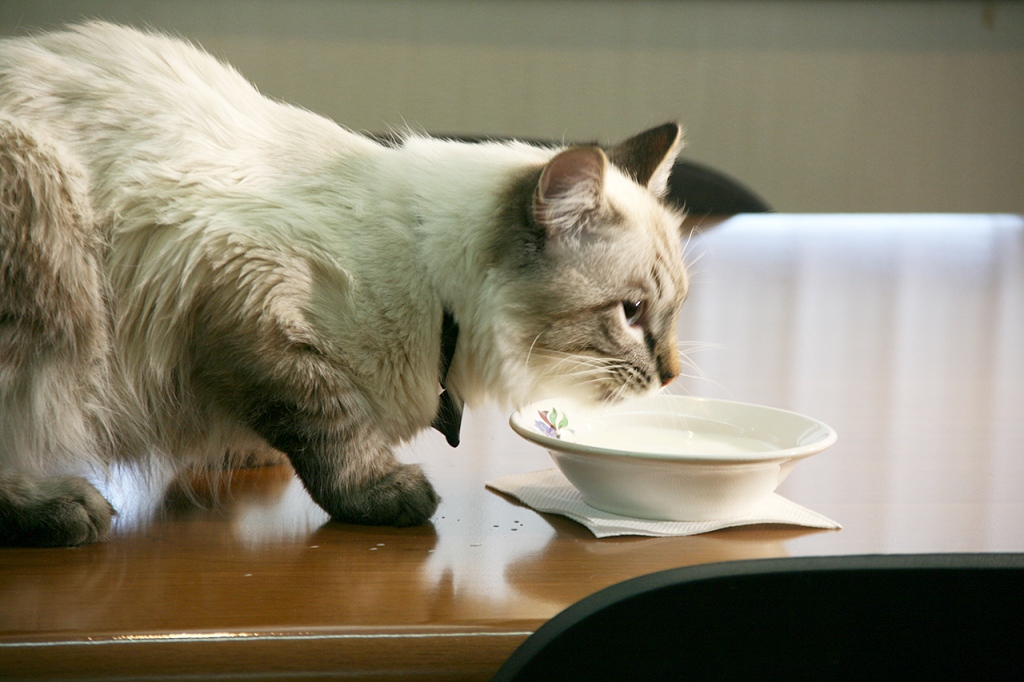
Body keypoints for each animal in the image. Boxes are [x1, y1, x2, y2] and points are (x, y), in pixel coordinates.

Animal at [2, 22, 688, 548]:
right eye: (631, 312)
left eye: (674, 311)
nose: (671, 376)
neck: (434, 292)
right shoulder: (243, 302)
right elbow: (330, 422)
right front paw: (383, 492)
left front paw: (243, 453)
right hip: (46, 221)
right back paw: (58, 506)